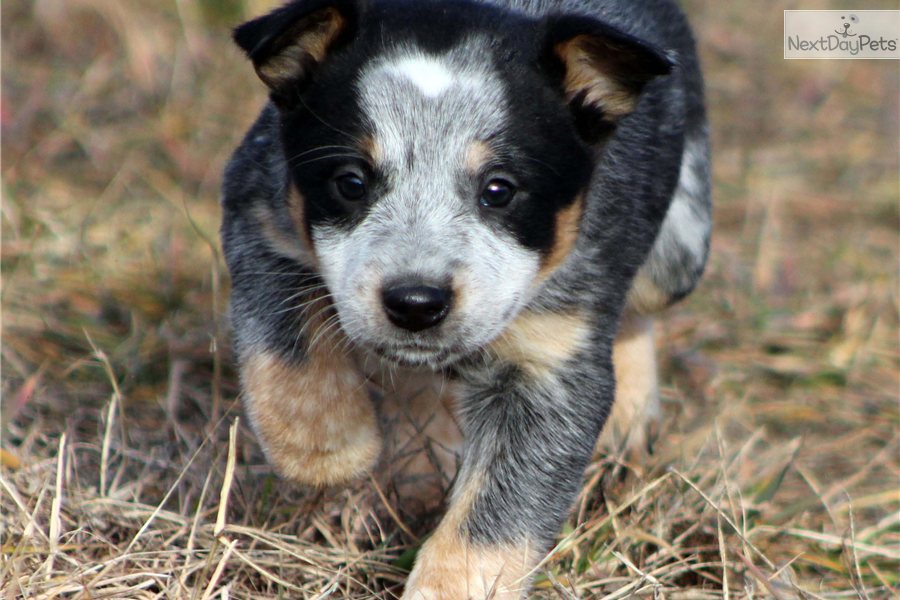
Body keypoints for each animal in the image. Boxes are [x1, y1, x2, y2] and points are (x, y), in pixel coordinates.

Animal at [220, 1, 712, 596]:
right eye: (351, 182)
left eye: (498, 190)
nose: (415, 302)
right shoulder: (256, 210)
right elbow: (285, 342)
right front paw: (326, 447)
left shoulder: (549, 363)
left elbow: (497, 514)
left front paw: (448, 585)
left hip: (677, 253)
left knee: (639, 310)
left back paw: (629, 424)